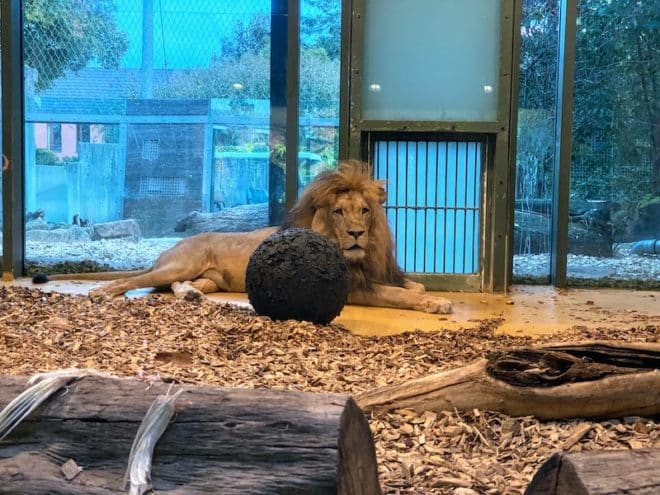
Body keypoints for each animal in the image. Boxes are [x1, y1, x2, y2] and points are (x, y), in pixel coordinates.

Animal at [33, 164, 452, 318]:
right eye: (339, 212)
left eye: (364, 211)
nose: (355, 234)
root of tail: (169, 248)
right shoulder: (352, 287)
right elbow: (397, 294)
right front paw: (435, 302)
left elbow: (411, 284)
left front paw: (424, 291)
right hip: (179, 262)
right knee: (138, 280)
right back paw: (104, 291)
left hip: (209, 277)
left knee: (178, 285)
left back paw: (192, 296)